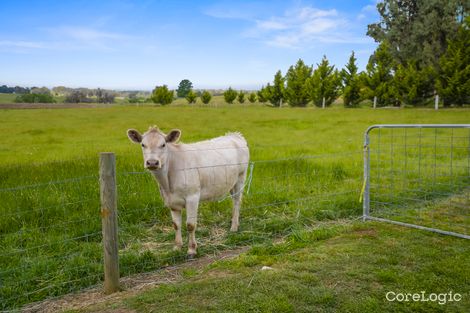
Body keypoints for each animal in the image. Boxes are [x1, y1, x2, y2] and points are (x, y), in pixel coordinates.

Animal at [125, 125, 250, 258]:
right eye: (143, 144)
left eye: (163, 144)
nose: (152, 162)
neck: (168, 182)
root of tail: (234, 135)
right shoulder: (171, 201)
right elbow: (176, 225)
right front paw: (177, 247)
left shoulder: (193, 197)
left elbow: (190, 225)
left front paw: (191, 249)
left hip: (240, 178)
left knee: (237, 202)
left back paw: (234, 227)